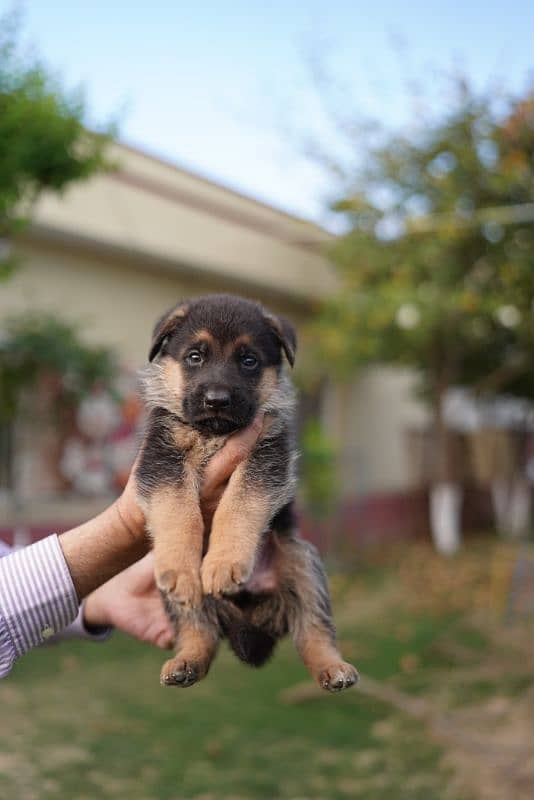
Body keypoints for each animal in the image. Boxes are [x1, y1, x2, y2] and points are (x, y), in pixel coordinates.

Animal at [136, 294, 358, 692]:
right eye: (195, 356)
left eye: (249, 360)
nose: (217, 400)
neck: (214, 431)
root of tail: (249, 621)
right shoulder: (160, 457)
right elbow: (177, 509)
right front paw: (181, 565)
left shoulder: (266, 457)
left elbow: (239, 503)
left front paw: (224, 562)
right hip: (181, 598)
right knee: (199, 631)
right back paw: (186, 663)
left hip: (305, 564)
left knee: (313, 631)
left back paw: (334, 669)